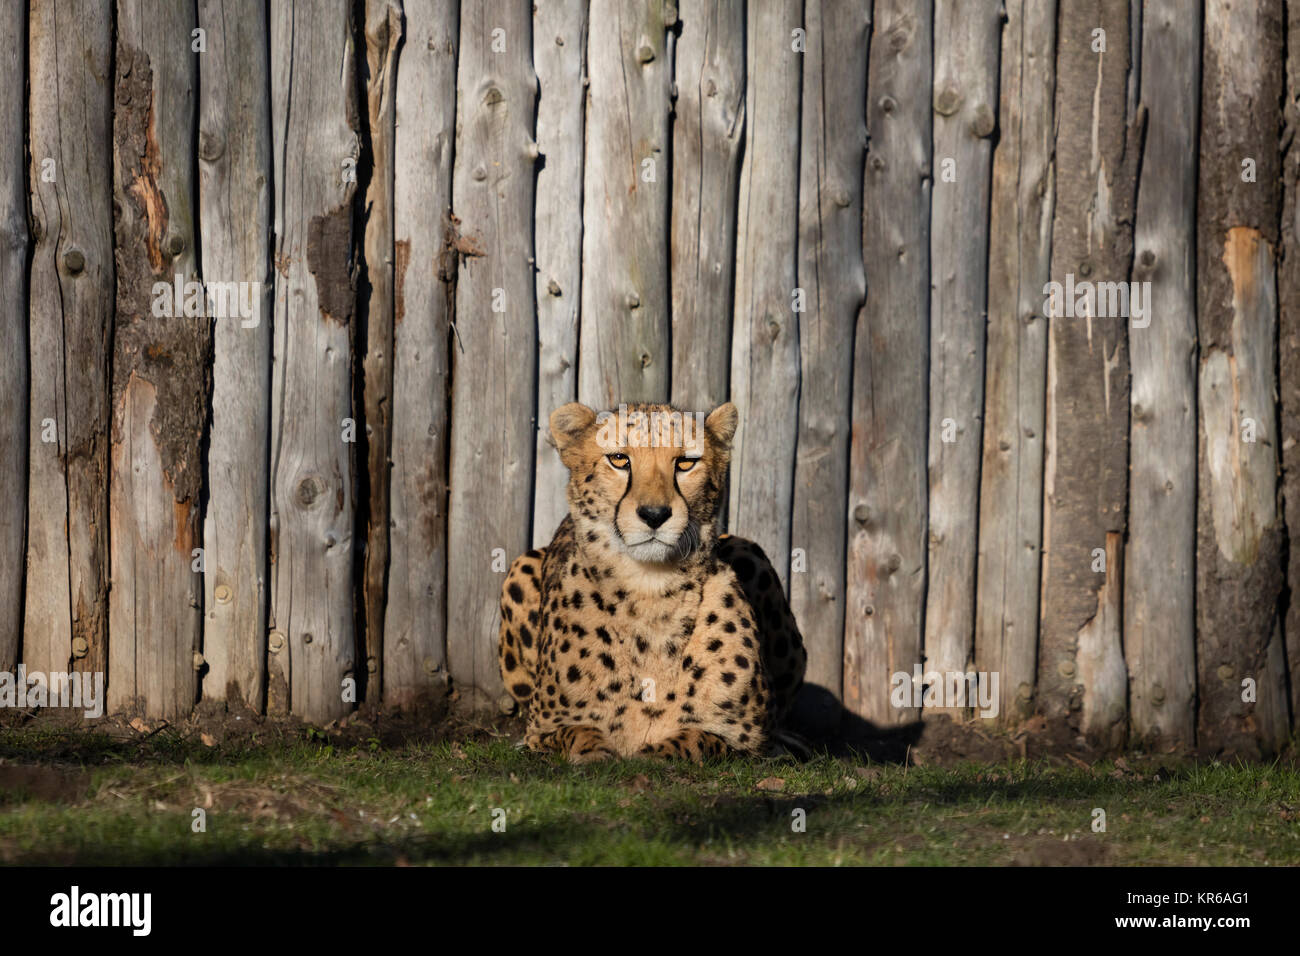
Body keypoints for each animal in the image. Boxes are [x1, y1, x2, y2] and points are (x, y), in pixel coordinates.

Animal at [493, 403, 800, 764]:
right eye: (619, 459)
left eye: (686, 463)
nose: (654, 514)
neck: (651, 590)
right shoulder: (540, 731)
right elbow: (579, 732)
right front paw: (595, 753)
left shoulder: (752, 745)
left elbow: (697, 738)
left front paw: (655, 752)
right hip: (519, 567)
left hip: (751, 553)